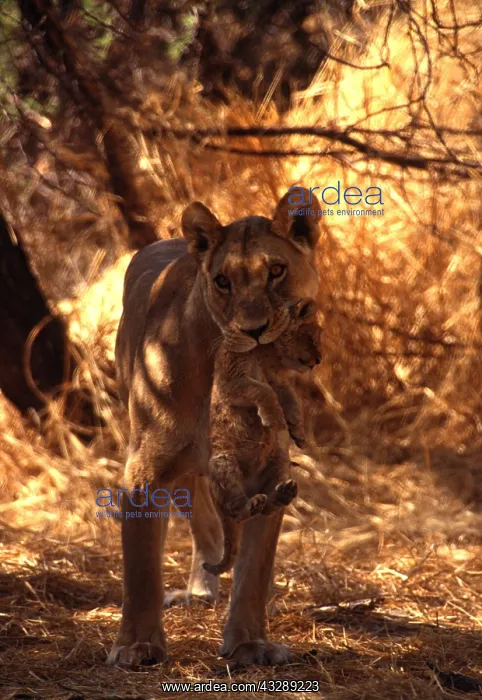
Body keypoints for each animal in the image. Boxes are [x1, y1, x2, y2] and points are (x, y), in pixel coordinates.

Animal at [203, 298, 322, 576]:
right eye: (311, 336)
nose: (319, 360)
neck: (268, 354)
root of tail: (250, 488)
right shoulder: (231, 382)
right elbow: (263, 390)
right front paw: (275, 420)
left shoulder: (280, 382)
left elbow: (291, 399)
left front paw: (298, 432)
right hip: (223, 464)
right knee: (236, 510)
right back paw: (251, 504)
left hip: (280, 463)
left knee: (269, 507)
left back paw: (284, 493)